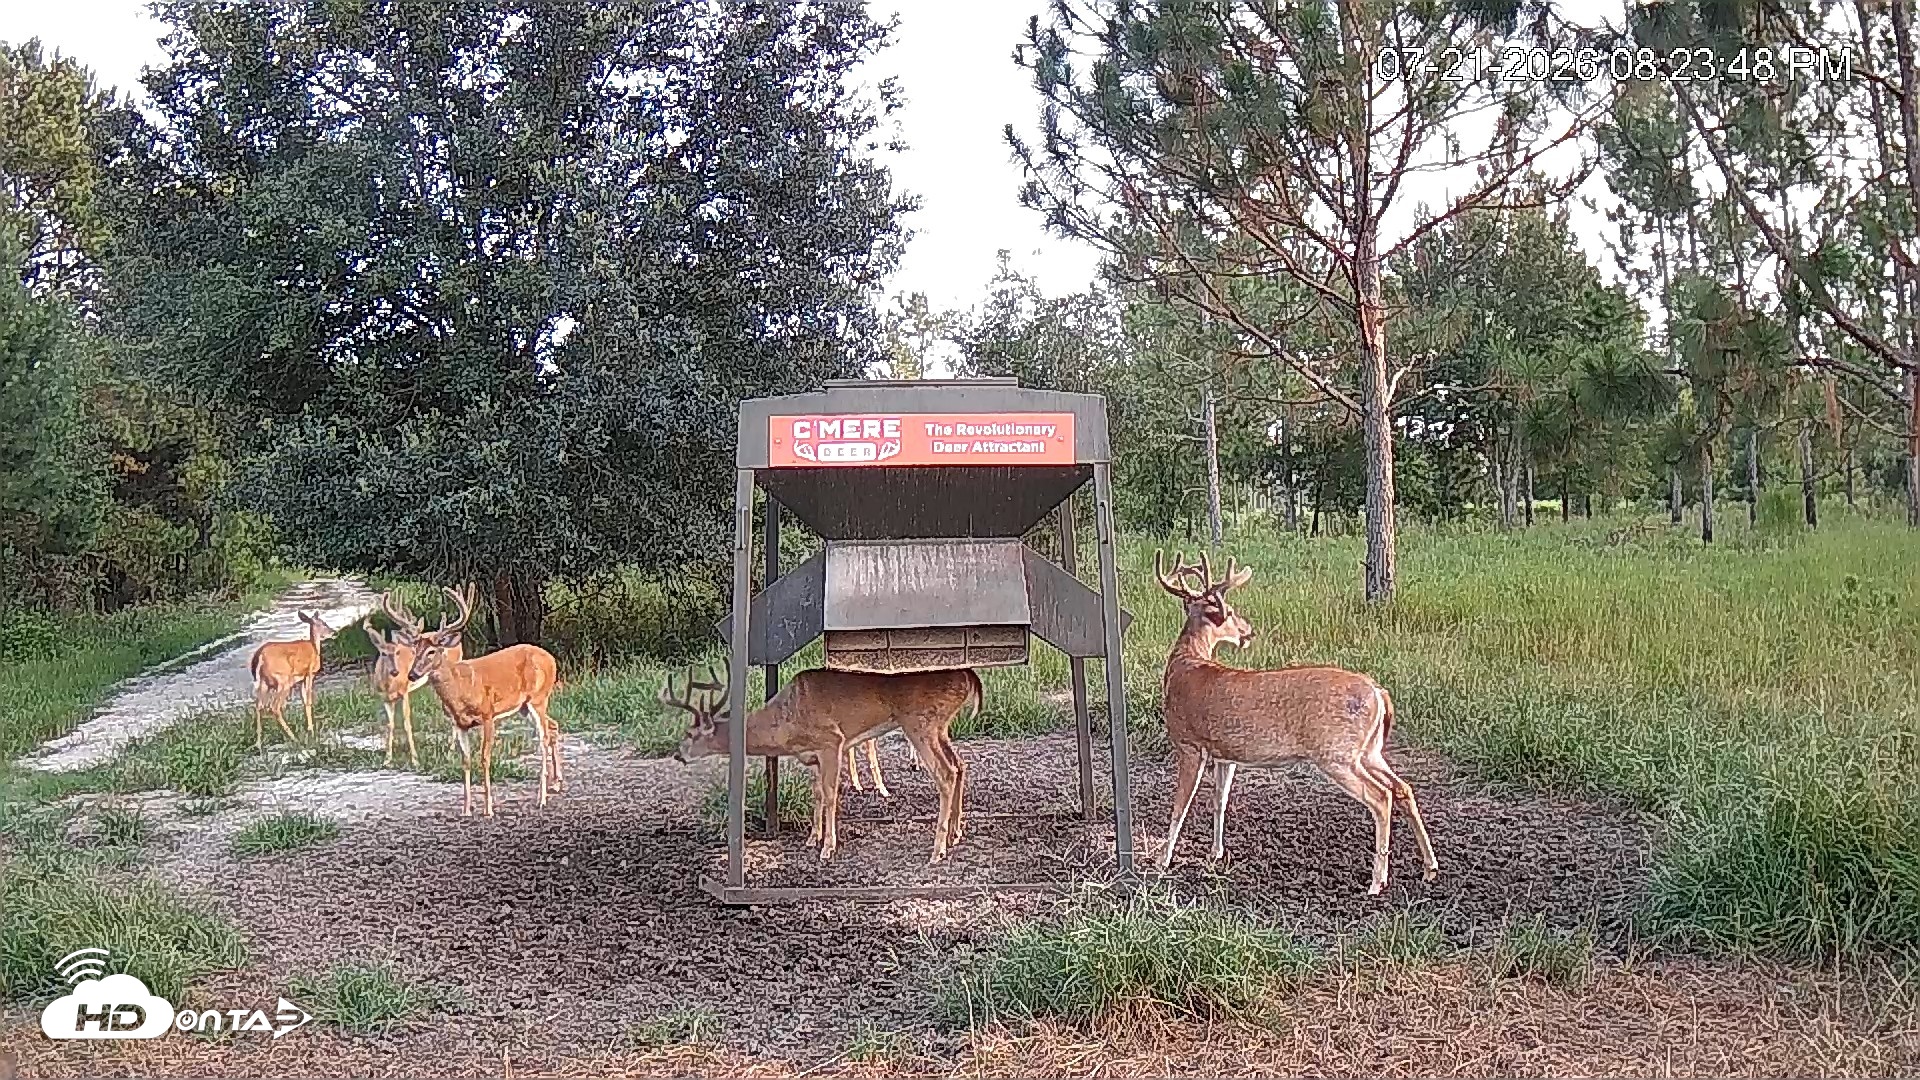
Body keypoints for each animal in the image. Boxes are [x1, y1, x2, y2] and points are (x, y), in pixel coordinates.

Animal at [248, 611, 338, 749]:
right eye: (323, 623)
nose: (333, 632)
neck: (314, 648)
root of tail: (259, 655)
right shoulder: (310, 673)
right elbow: (308, 701)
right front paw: (312, 732)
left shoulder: (301, 678)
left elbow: (304, 700)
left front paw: (309, 729)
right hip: (283, 681)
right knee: (274, 707)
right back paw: (294, 738)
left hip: (264, 683)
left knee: (259, 706)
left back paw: (258, 743)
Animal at [359, 592, 463, 769]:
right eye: (383, 654)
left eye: (398, 652)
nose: (396, 671)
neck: (389, 686)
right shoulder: (384, 698)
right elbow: (390, 725)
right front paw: (387, 760)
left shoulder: (405, 691)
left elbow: (407, 722)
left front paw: (415, 760)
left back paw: (450, 753)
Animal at [399, 585, 564, 817]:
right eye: (415, 651)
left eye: (432, 651)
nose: (412, 674)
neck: (461, 689)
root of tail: (551, 659)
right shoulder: (460, 723)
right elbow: (466, 760)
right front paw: (466, 809)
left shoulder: (488, 714)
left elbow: (485, 758)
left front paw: (488, 809)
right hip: (524, 706)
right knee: (553, 726)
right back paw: (556, 784)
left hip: (538, 697)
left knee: (543, 738)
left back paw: (541, 798)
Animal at [663, 665, 980, 862]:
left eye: (689, 734)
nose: (678, 755)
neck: (786, 721)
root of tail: (970, 678)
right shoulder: (813, 754)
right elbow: (816, 793)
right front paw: (812, 838)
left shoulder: (831, 741)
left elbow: (829, 794)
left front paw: (828, 847)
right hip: (939, 728)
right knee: (960, 765)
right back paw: (955, 834)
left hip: (921, 723)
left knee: (946, 773)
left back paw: (937, 850)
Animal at [1153, 549, 1438, 895]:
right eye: (1231, 611)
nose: (1248, 630)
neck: (1187, 664)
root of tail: (1378, 693)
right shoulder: (1225, 753)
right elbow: (1220, 801)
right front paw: (1215, 853)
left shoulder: (1188, 743)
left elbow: (1180, 806)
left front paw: (1163, 860)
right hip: (1368, 750)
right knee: (1403, 788)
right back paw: (1429, 867)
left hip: (1336, 752)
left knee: (1381, 797)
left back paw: (1376, 882)